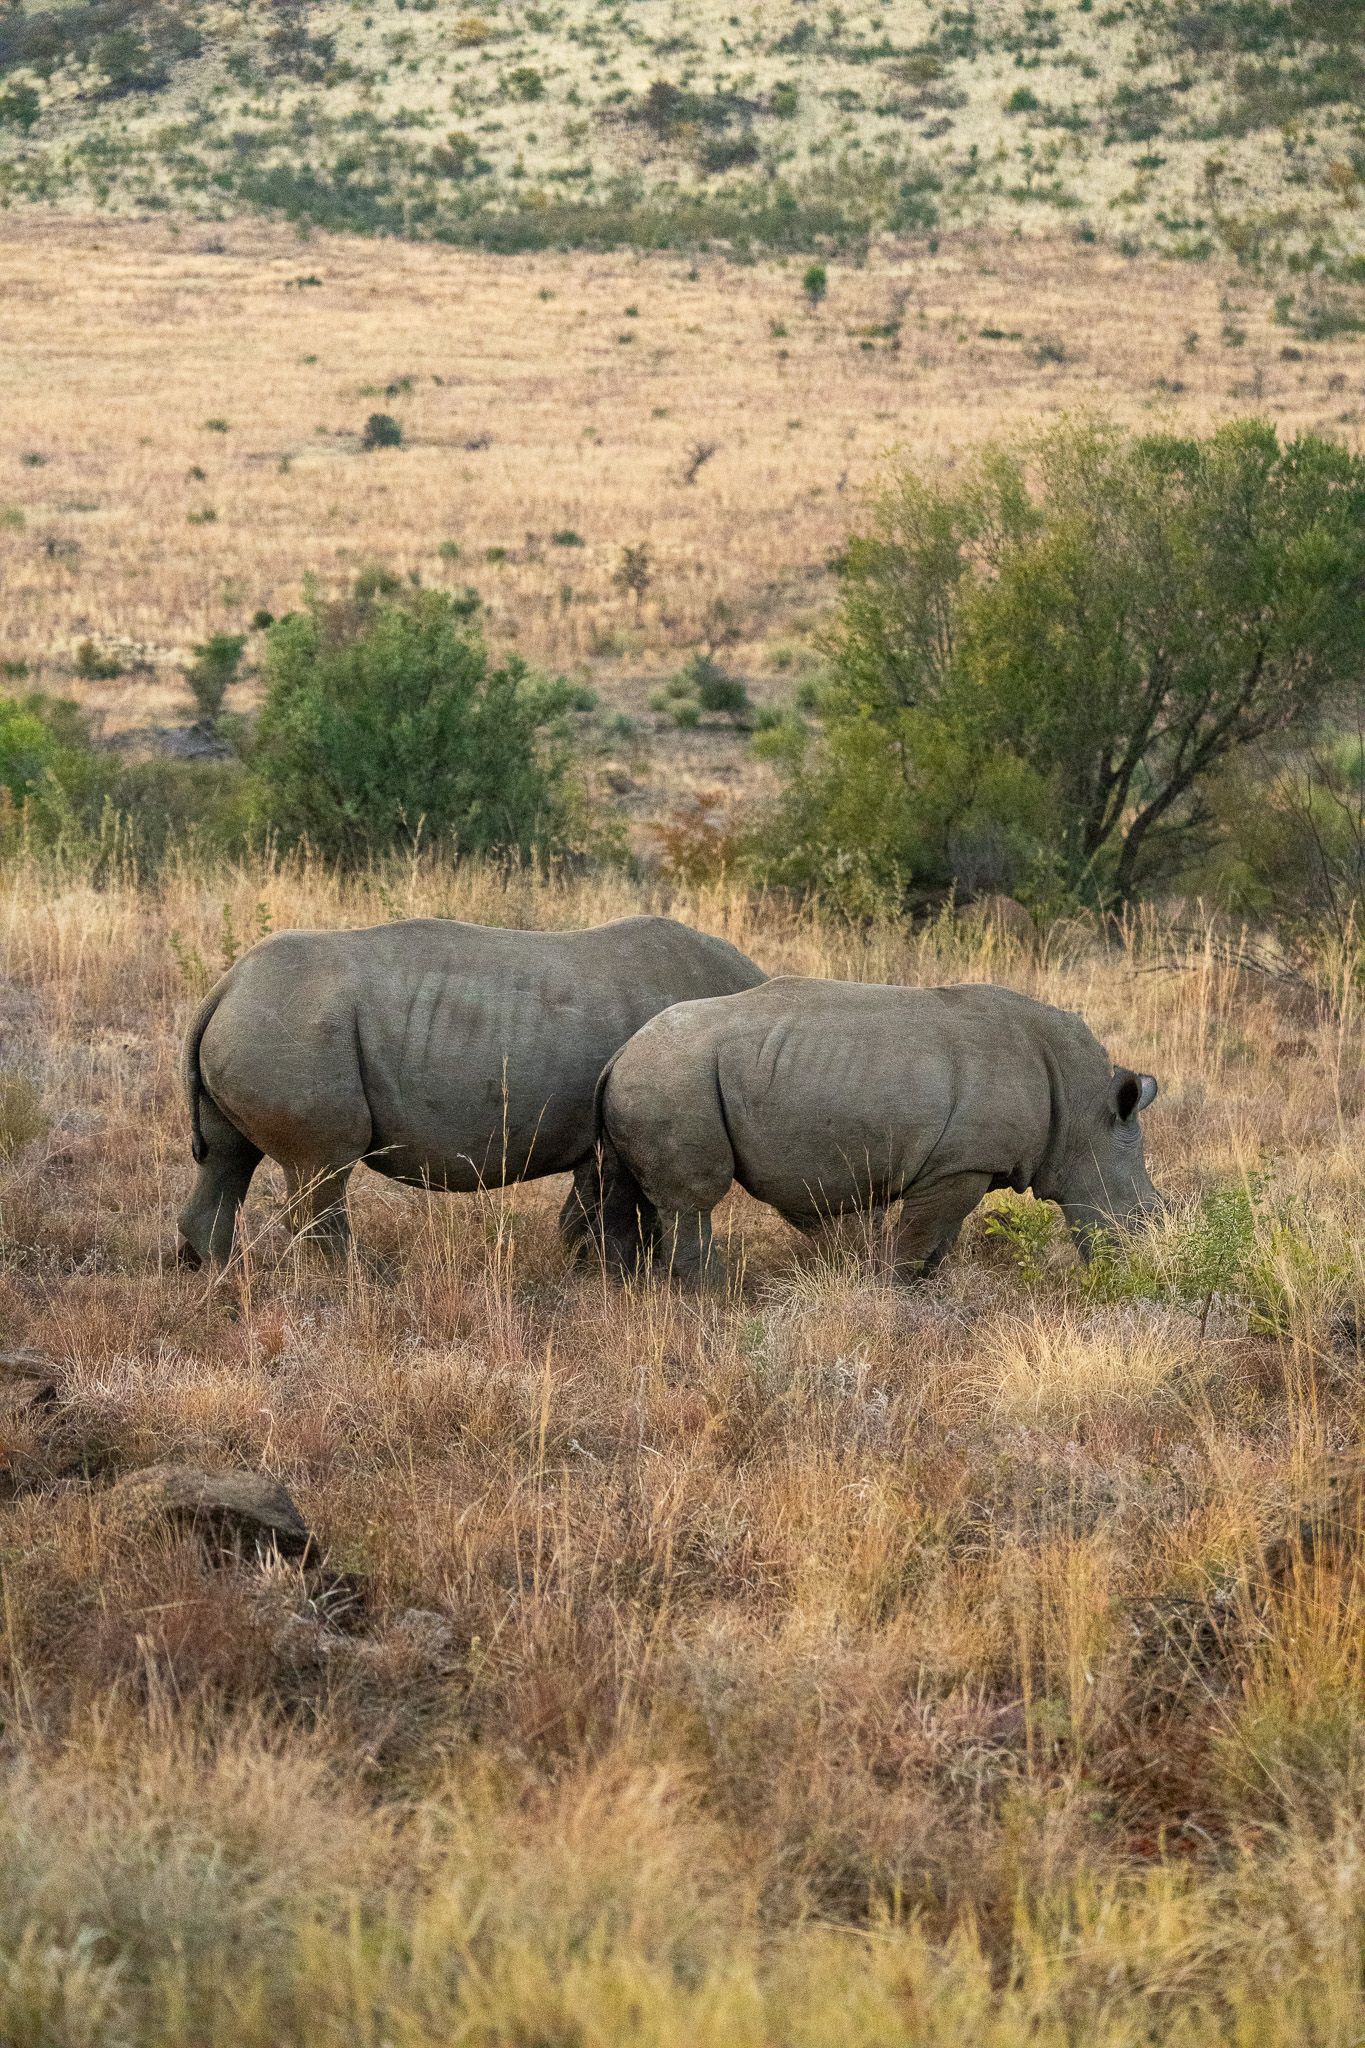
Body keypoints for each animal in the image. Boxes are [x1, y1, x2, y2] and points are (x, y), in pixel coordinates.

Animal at [176, 915, 765, 1267]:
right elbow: (615, 1201)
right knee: (321, 1166)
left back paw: (216, 1271)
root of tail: (225, 986)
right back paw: (357, 1279)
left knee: (229, 1157)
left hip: (263, 1021)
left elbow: (597, 1202)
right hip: (292, 1028)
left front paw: (583, 1263)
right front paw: (611, 1270)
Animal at [597, 977, 1161, 1282]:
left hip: (657, 1077)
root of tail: (621, 1051)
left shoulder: (959, 1165)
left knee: (632, 1195)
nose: (1141, 1270)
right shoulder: (961, 1164)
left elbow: (938, 1241)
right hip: (674, 1076)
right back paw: (717, 1302)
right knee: (693, 1203)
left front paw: (925, 1291)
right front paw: (895, 1293)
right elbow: (919, 1239)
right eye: (1146, 1214)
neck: (1085, 1110)